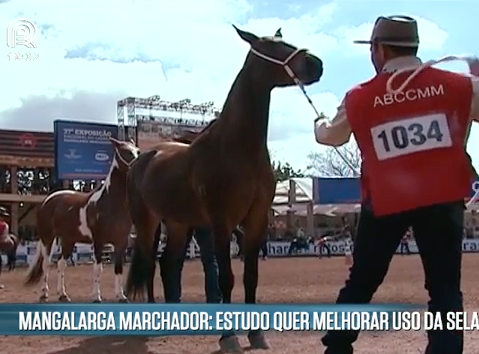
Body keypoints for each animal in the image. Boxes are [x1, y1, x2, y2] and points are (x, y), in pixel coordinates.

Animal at [25, 137, 140, 302]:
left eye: (138, 151)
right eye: (126, 151)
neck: (110, 202)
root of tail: (46, 201)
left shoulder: (121, 243)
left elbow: (118, 269)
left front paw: (121, 296)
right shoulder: (99, 241)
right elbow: (98, 269)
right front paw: (96, 296)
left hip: (68, 240)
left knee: (61, 264)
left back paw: (63, 294)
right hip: (48, 239)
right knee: (46, 265)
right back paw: (44, 294)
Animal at [125, 24, 324, 352]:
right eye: (272, 47)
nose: (316, 64)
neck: (238, 147)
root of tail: (141, 158)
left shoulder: (255, 221)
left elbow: (251, 277)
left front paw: (256, 334)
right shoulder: (221, 221)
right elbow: (226, 278)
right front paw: (228, 336)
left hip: (178, 224)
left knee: (168, 264)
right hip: (147, 223)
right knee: (150, 264)